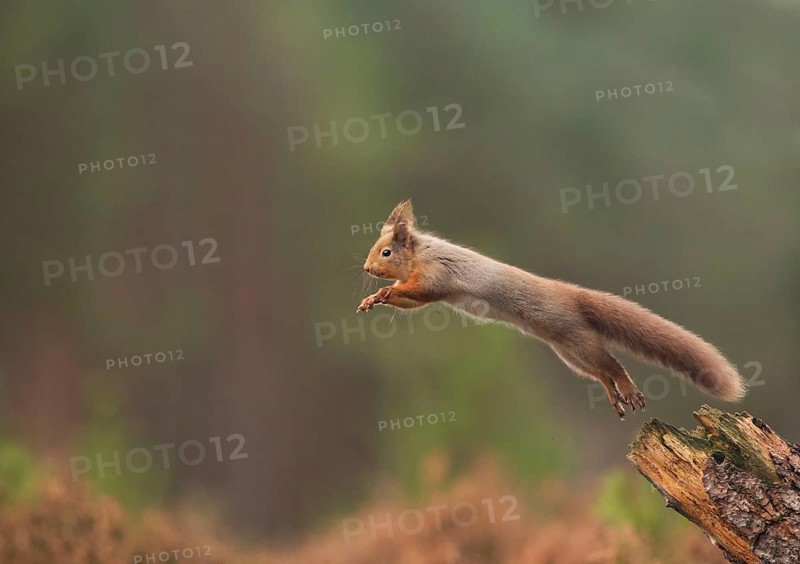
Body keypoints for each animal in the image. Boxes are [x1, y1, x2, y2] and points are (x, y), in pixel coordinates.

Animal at [356, 200, 746, 419]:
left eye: (386, 252)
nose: (366, 268)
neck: (420, 254)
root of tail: (570, 294)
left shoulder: (436, 275)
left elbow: (417, 291)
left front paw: (383, 291)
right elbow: (410, 300)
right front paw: (374, 300)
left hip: (576, 339)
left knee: (613, 365)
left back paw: (628, 390)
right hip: (569, 354)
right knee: (600, 373)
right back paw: (613, 395)